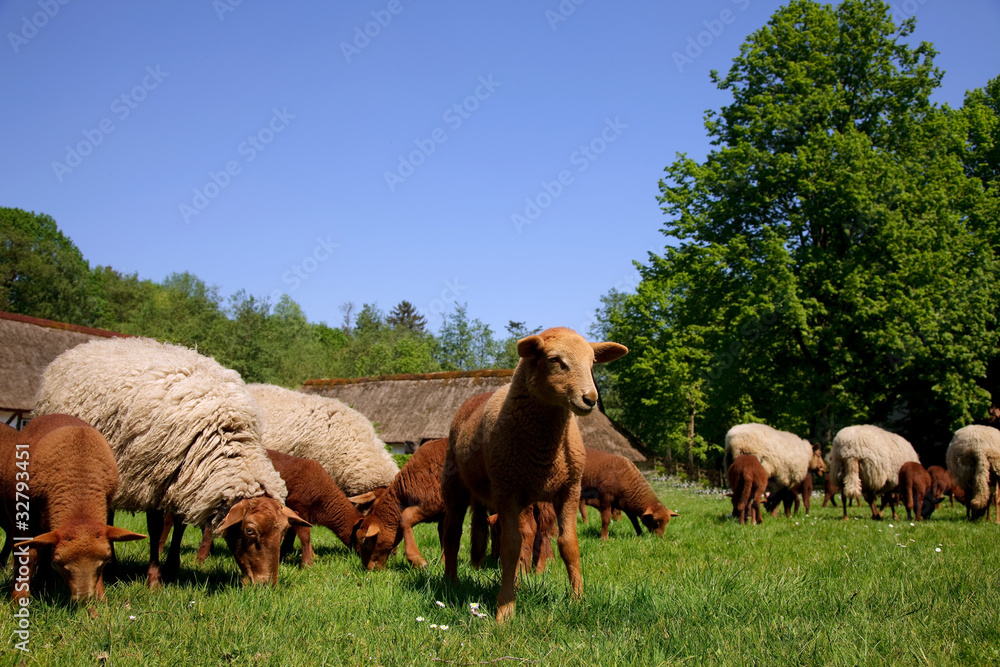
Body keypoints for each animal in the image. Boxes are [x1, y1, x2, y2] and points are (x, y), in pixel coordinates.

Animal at [0, 414, 146, 602]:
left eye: (107, 559)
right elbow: (27, 555)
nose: (84, 600)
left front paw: (100, 599)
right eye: (58, 563)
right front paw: (19, 598)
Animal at [32, 336, 309, 588]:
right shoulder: (151, 478)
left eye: (283, 531)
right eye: (250, 531)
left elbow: (180, 524)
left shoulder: (184, 478)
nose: (265, 585)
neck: (223, 433)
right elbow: (155, 529)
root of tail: (81, 347)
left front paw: (173, 567)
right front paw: (154, 579)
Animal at [354, 438, 448, 571]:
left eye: (366, 542)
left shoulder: (432, 504)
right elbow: (444, 533)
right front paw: (445, 564)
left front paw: (417, 561)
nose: (368, 569)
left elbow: (406, 516)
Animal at [441, 327, 628, 622]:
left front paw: (578, 599)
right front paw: (505, 610)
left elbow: (567, 544)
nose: (590, 399)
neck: (545, 446)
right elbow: (509, 547)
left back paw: (516, 582)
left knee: (523, 537)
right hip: (456, 485)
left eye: (592, 363)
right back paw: (451, 582)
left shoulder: (569, 489)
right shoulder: (506, 491)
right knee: (452, 532)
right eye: (554, 360)